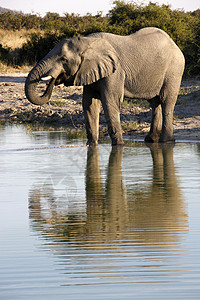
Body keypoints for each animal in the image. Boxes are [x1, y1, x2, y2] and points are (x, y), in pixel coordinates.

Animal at [25, 27, 186, 145]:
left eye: (64, 59)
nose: (53, 79)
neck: (87, 42)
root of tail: (175, 44)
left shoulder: (115, 72)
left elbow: (110, 101)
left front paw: (119, 146)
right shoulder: (90, 71)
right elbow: (89, 104)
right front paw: (92, 145)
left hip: (174, 69)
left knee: (166, 101)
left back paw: (167, 141)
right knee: (154, 103)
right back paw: (151, 140)